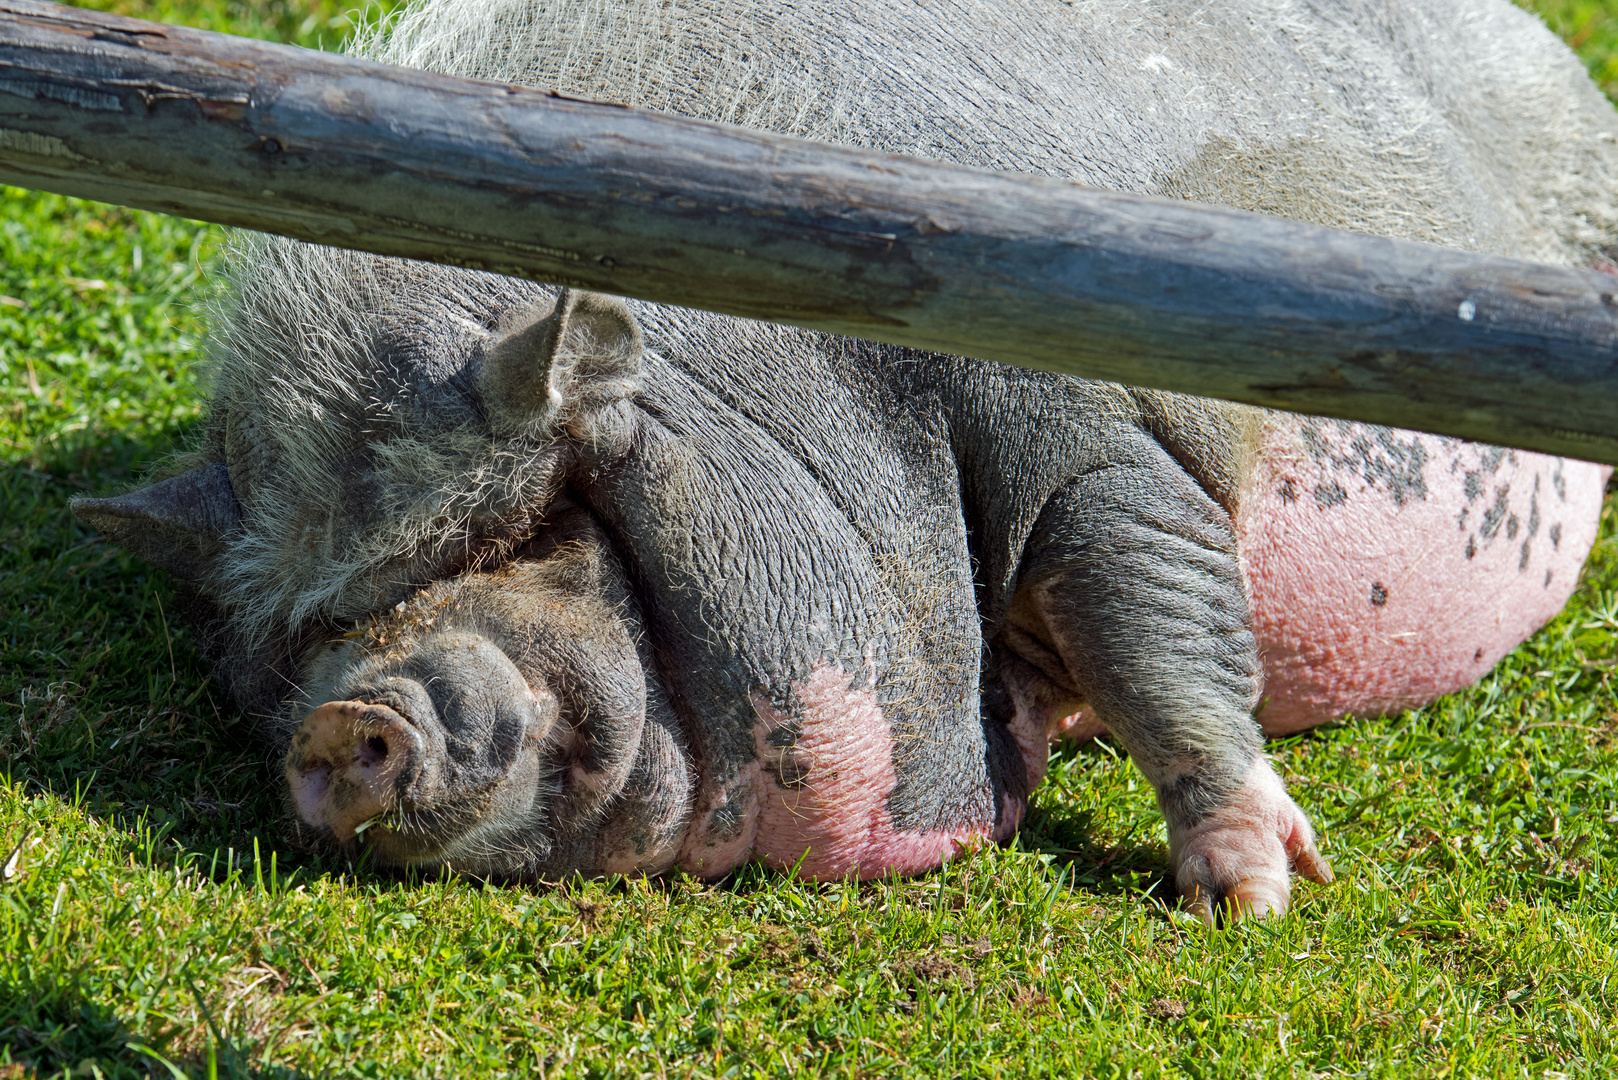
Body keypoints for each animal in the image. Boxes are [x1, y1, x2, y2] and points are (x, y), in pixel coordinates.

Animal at [76, 0, 1618, 919]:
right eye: (294, 647)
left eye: (543, 531)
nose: (344, 716)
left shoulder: (1088, 421)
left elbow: (1154, 621)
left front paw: (1248, 904)